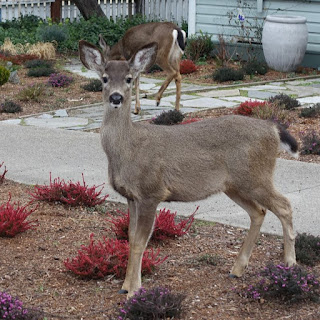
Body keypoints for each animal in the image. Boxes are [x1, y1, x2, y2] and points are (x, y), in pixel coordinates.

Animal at [79, 40, 298, 298]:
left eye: (129, 78)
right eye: (104, 78)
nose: (116, 97)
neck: (127, 150)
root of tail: (273, 129)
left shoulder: (151, 191)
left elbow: (140, 242)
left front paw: (134, 290)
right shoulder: (131, 197)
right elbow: (131, 239)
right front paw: (125, 286)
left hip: (256, 177)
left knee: (284, 205)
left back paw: (290, 263)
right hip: (234, 185)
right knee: (259, 212)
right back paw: (237, 269)